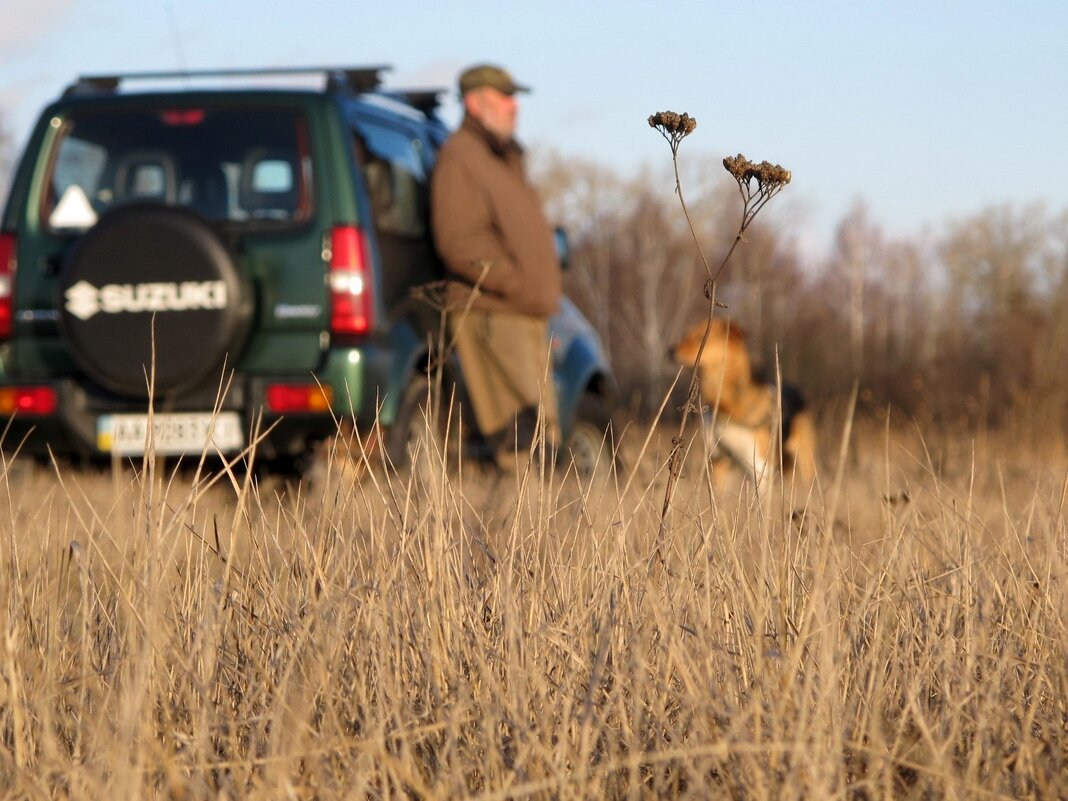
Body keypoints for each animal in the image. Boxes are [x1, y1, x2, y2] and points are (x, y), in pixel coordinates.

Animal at [674, 320, 815, 495]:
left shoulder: (760, 466)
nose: (670, 351)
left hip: (803, 458)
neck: (728, 405)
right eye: (686, 334)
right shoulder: (718, 459)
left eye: (700, 337)